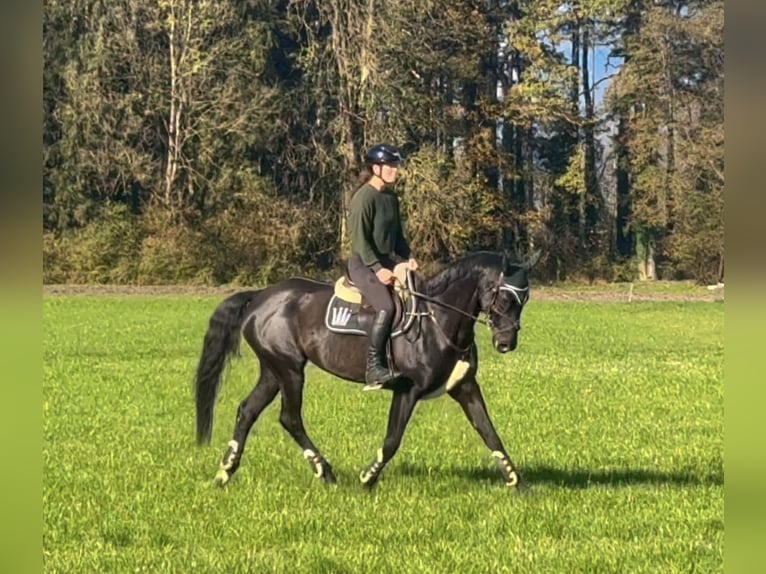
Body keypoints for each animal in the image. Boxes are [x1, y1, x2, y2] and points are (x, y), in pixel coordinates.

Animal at [192, 251, 540, 490]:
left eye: (524, 299)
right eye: (503, 296)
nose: (506, 343)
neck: (437, 320)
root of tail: (260, 297)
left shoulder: (464, 387)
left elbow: (490, 433)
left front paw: (517, 482)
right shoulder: (408, 390)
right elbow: (392, 440)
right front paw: (367, 478)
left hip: (272, 370)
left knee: (247, 411)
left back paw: (225, 472)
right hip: (289, 370)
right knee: (289, 417)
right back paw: (324, 471)